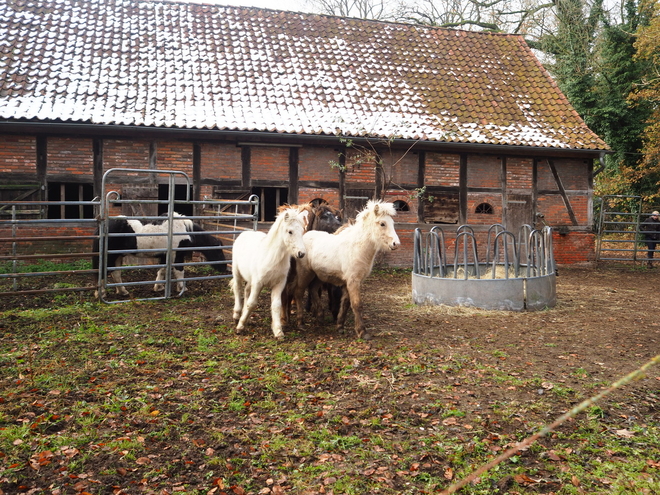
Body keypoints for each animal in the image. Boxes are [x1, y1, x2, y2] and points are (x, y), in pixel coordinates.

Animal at [231, 206, 308, 340]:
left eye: (302, 230)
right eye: (290, 231)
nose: (301, 253)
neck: (272, 257)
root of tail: (245, 233)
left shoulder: (279, 285)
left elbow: (276, 305)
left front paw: (278, 331)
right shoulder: (258, 283)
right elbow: (252, 303)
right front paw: (240, 327)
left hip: (250, 279)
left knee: (246, 290)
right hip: (236, 273)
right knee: (237, 289)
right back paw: (237, 315)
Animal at [296, 200, 400, 340]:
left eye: (392, 223)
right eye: (382, 223)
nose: (396, 244)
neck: (356, 247)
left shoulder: (349, 282)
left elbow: (345, 303)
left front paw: (340, 326)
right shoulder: (353, 281)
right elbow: (356, 304)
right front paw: (362, 332)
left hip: (319, 275)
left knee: (313, 289)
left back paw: (320, 317)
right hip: (305, 273)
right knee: (299, 292)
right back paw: (300, 322)